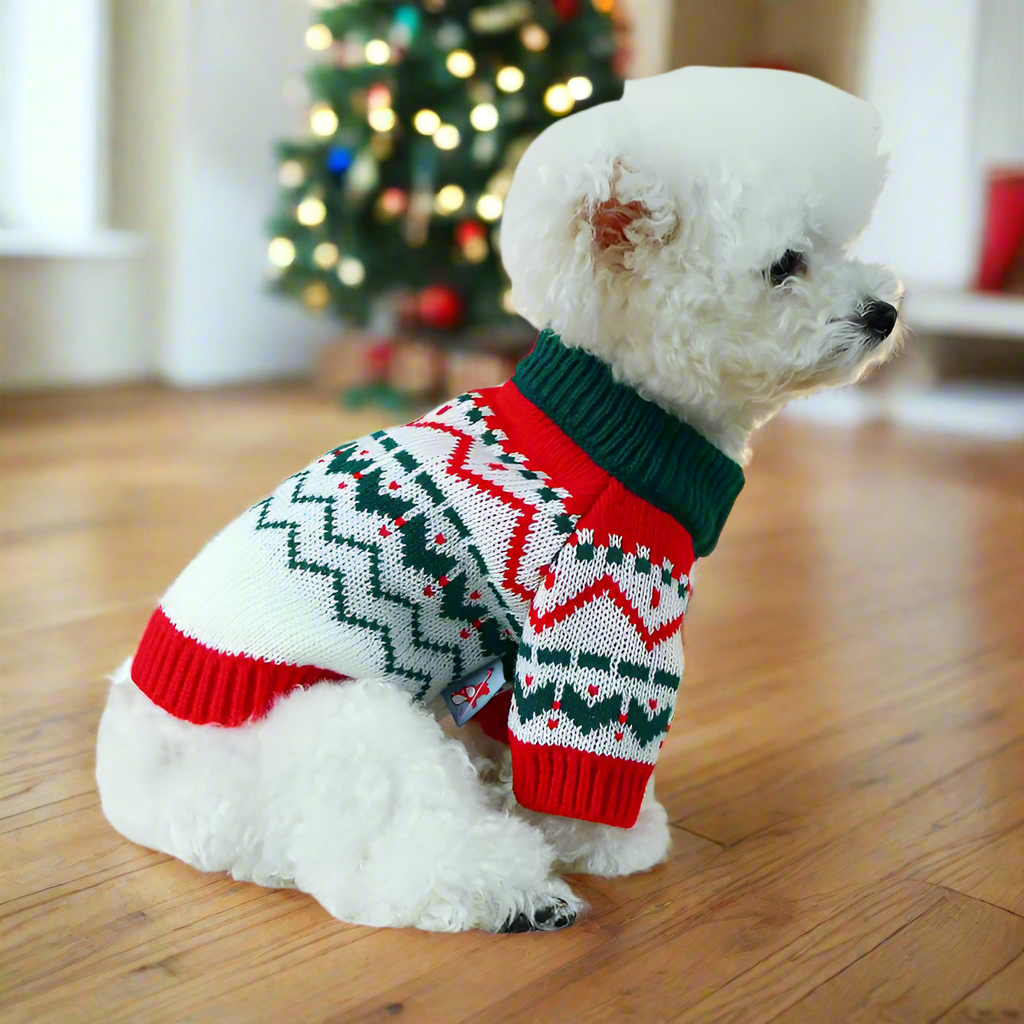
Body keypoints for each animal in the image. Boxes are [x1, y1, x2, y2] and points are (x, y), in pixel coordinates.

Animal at [94, 68, 897, 937]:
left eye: (841, 245)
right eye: (785, 265)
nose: (886, 312)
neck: (619, 412)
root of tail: (141, 794)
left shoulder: (511, 653)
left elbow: (510, 733)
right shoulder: (603, 617)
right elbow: (581, 752)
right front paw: (617, 842)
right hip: (351, 729)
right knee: (392, 863)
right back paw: (518, 893)